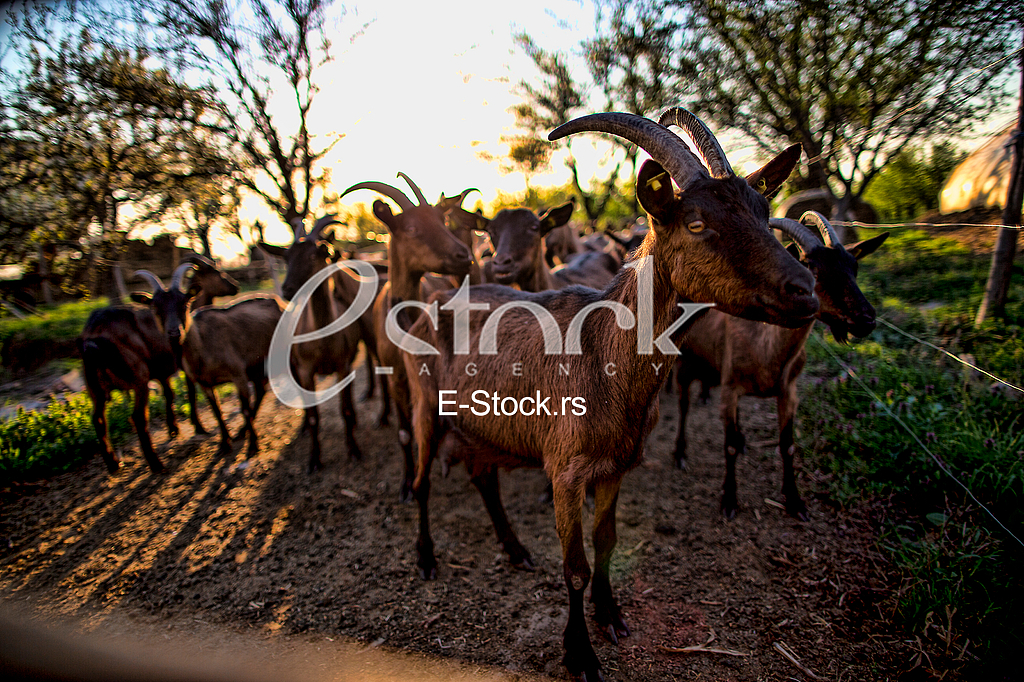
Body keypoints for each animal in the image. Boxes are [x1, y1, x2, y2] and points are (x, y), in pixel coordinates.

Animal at [78, 264, 195, 474]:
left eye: (184, 303)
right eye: (155, 307)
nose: (174, 332)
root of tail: (92, 337)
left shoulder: (161, 371)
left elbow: (169, 393)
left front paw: (173, 429)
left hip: (93, 386)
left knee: (98, 419)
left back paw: (113, 463)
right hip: (138, 378)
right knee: (138, 417)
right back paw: (156, 464)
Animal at [258, 215, 368, 472]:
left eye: (314, 255)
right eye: (286, 257)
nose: (288, 289)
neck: (323, 339)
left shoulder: (342, 364)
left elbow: (344, 409)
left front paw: (354, 451)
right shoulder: (306, 369)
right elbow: (313, 415)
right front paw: (314, 460)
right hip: (294, 364)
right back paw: (304, 430)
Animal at [340, 173, 474, 501]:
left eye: (442, 220)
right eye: (411, 228)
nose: (463, 256)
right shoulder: (397, 376)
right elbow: (403, 433)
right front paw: (406, 484)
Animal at [401, 108, 818, 681]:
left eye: (763, 212)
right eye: (696, 223)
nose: (805, 290)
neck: (605, 355)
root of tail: (431, 302)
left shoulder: (618, 464)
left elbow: (606, 542)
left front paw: (611, 615)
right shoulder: (565, 470)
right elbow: (574, 566)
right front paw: (580, 655)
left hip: (480, 421)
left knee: (483, 476)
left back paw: (515, 550)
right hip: (425, 405)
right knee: (422, 481)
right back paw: (425, 559)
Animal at [674, 212, 888, 520]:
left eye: (854, 266)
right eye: (812, 269)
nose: (866, 318)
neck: (767, 349)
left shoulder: (789, 392)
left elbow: (787, 446)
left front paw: (795, 501)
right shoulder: (729, 389)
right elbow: (728, 446)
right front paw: (729, 500)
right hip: (683, 361)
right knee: (683, 404)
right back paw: (680, 453)